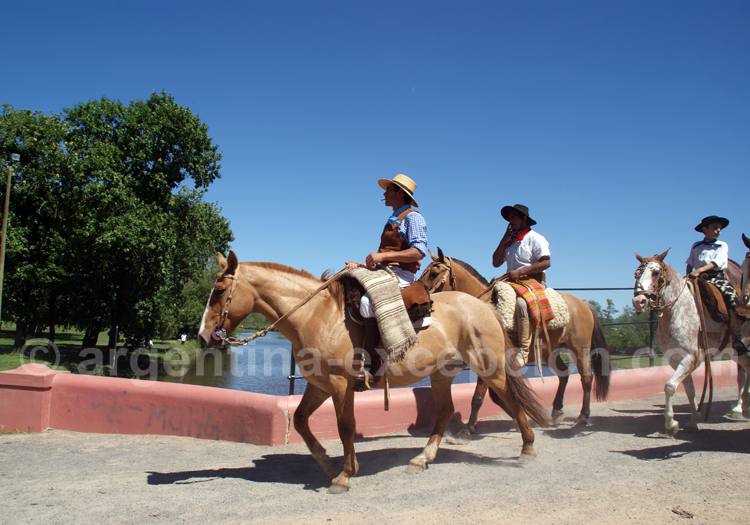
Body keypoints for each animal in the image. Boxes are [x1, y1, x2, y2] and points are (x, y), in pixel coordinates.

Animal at [198, 251, 551, 493]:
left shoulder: (340, 385)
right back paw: (421, 459)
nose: (202, 336)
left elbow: (345, 427)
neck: (317, 315)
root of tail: (484, 306)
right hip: (443, 373)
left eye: (219, 291)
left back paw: (527, 448)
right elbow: (299, 420)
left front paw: (344, 474)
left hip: (490, 367)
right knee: (445, 411)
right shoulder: (318, 385)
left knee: (511, 400)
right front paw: (328, 462)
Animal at [418, 249, 610, 432]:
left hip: (579, 347)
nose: (420, 299)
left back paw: (582, 417)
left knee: (586, 377)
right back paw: (556, 412)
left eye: (434, 273)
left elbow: (479, 397)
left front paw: (468, 429)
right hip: (549, 352)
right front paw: (518, 418)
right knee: (564, 374)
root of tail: (585, 304)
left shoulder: (490, 358)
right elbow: (496, 396)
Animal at [632, 249, 750, 436]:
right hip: (736, 352)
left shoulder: (691, 358)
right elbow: (689, 389)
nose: (639, 302)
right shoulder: (675, 359)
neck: (677, 311)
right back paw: (743, 407)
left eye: (656, 272)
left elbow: (670, 386)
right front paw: (693, 421)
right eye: (636, 274)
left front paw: (670, 424)